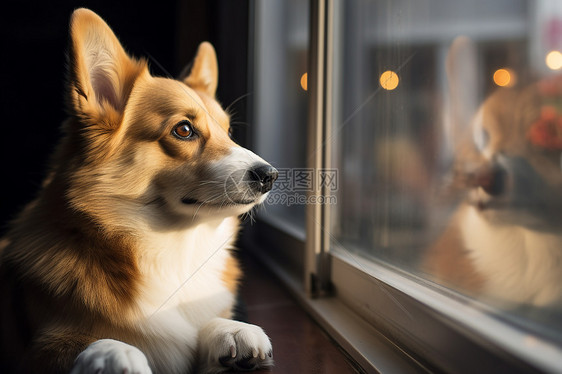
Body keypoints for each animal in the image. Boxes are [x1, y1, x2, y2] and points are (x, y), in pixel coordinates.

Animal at [1, 8, 276, 374]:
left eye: (229, 132)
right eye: (184, 130)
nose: (270, 176)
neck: (175, 249)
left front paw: (231, 330)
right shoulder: (34, 353)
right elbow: (87, 343)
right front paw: (118, 353)